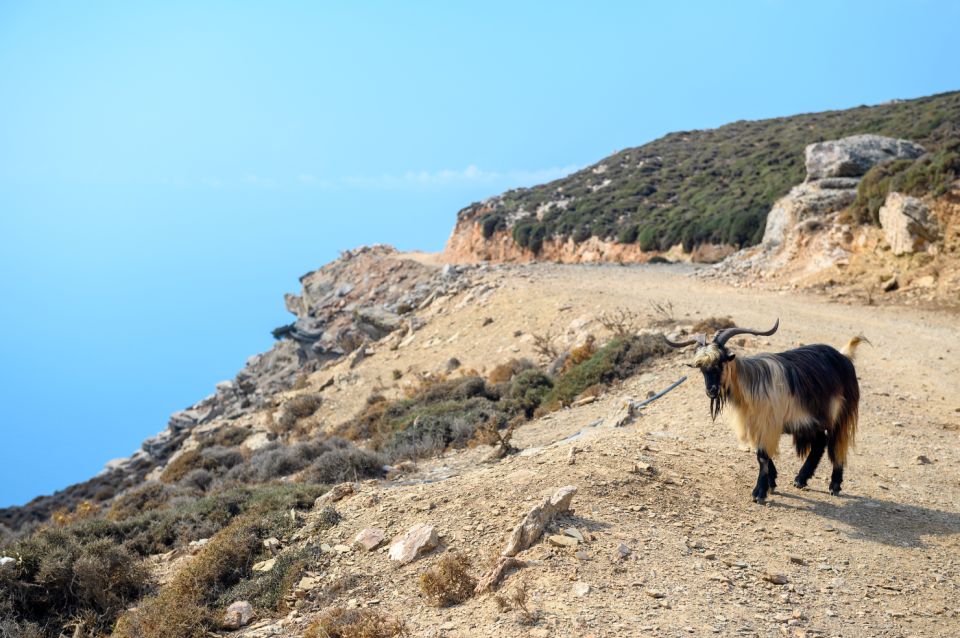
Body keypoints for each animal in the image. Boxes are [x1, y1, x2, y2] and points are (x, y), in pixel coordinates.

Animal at [668, 320, 864, 504]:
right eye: (702, 368)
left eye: (721, 362)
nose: (711, 391)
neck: (750, 383)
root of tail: (844, 357)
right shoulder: (756, 425)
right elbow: (763, 455)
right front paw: (772, 482)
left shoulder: (768, 423)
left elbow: (762, 456)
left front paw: (759, 493)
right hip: (811, 420)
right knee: (820, 443)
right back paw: (801, 479)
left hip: (841, 414)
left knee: (838, 444)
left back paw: (834, 485)